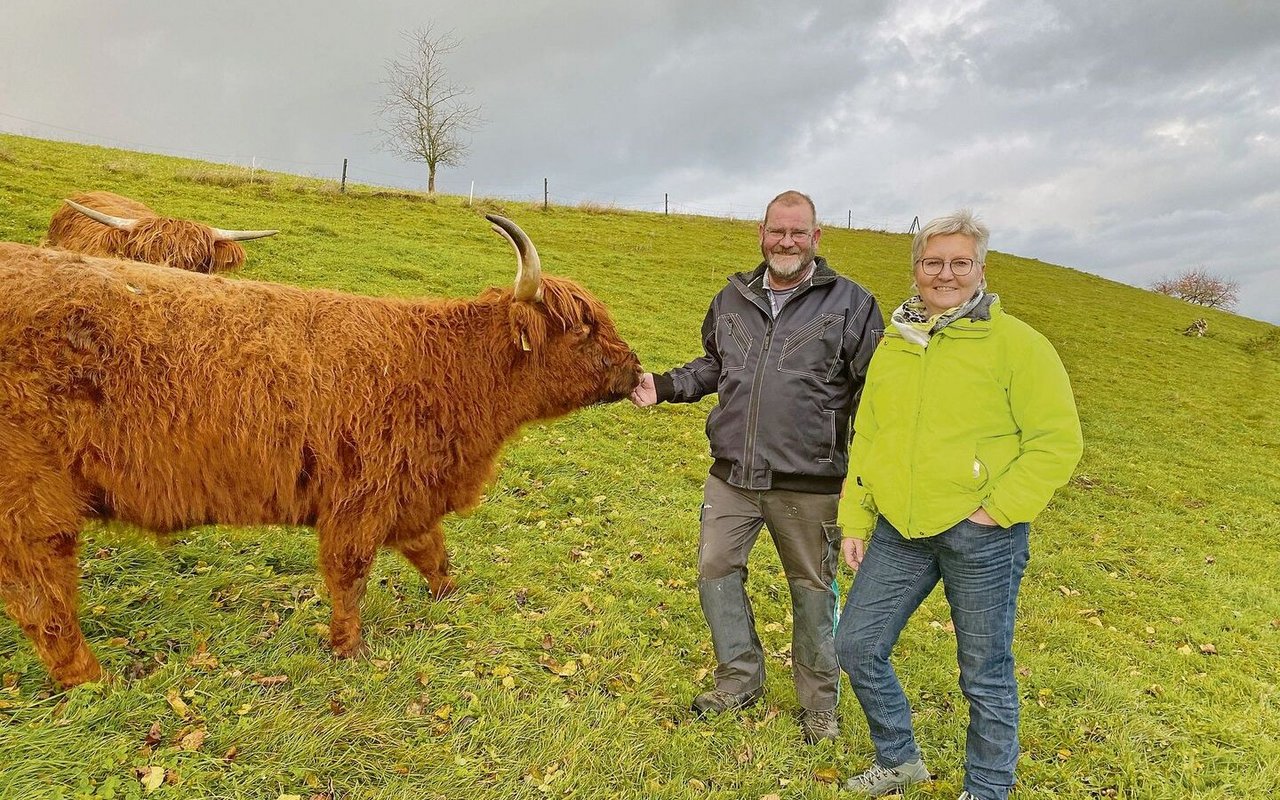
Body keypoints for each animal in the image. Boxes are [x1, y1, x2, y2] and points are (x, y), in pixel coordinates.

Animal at [0, 215, 640, 680]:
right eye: (583, 330)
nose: (636, 370)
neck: (442, 369)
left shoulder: (410, 492)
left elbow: (433, 554)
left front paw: (450, 599)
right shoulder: (360, 498)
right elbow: (350, 575)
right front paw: (349, 649)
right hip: (32, 500)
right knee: (42, 599)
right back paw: (91, 680)